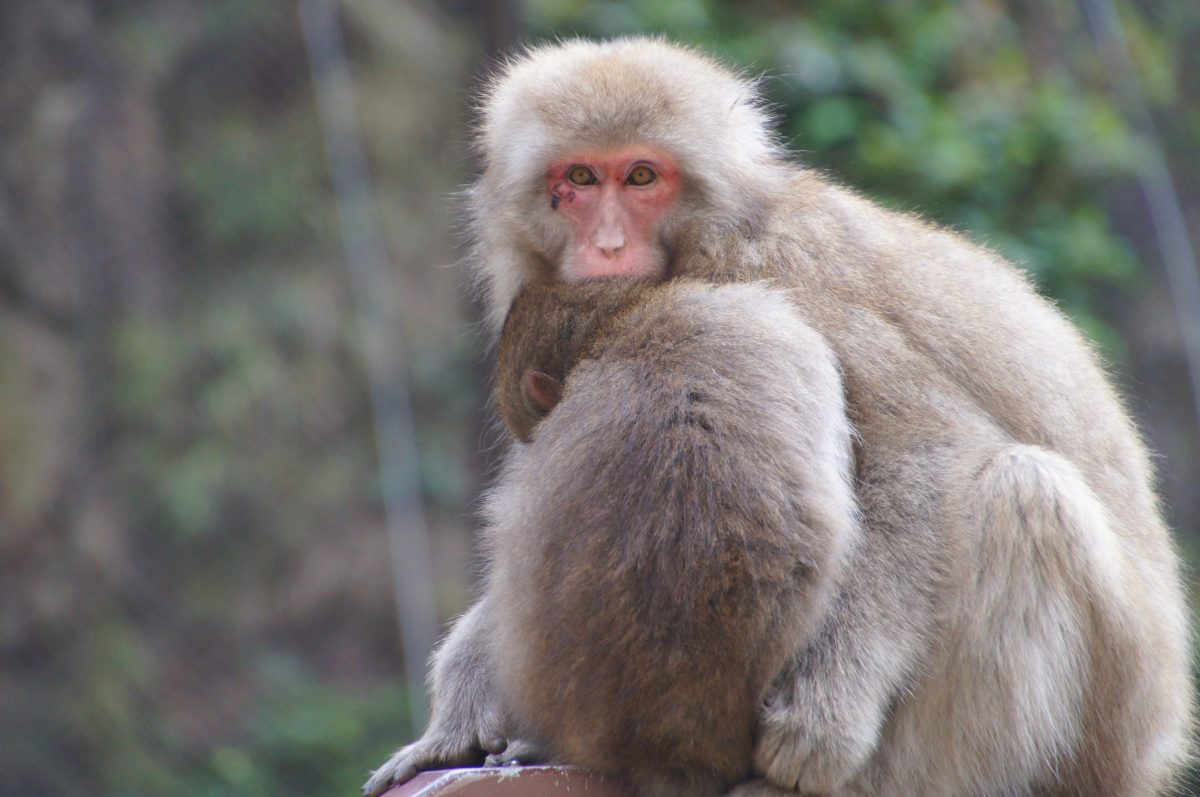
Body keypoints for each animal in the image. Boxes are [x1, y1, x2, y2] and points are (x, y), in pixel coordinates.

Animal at [366, 37, 1193, 797]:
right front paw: (457, 718)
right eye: (578, 178)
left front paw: (821, 728)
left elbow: (926, 454)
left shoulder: (778, 273)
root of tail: (1151, 745)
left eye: (642, 177)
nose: (607, 245)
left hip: (1101, 716)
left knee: (1020, 494)